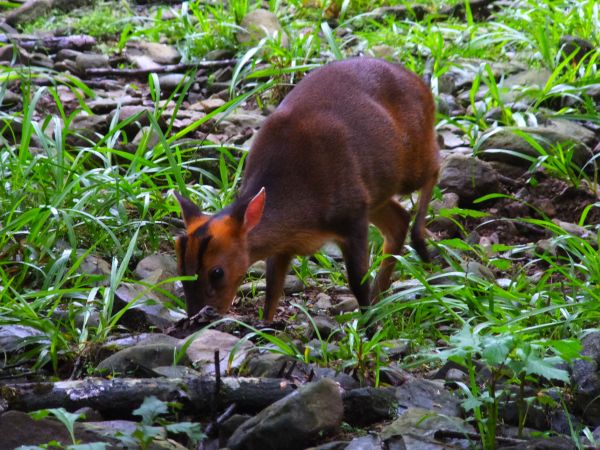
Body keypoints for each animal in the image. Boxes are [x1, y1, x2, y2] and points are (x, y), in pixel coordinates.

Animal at [173, 58, 440, 322]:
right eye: (180, 265)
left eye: (217, 272)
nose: (196, 317)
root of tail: (421, 85)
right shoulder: (284, 245)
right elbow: (272, 289)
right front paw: (265, 326)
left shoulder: (351, 216)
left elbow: (357, 281)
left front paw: (367, 325)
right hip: (375, 192)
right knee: (399, 220)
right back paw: (380, 297)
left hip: (408, 165)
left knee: (435, 167)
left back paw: (420, 246)